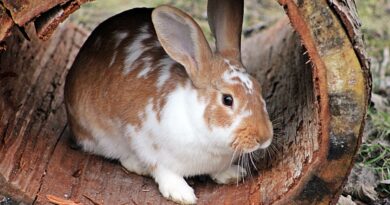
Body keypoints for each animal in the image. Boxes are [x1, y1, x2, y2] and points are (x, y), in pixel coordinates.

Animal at [63, 2, 272, 205]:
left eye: (258, 87)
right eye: (227, 99)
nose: (264, 138)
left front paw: (232, 174)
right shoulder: (146, 143)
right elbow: (163, 170)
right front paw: (182, 194)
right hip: (99, 134)